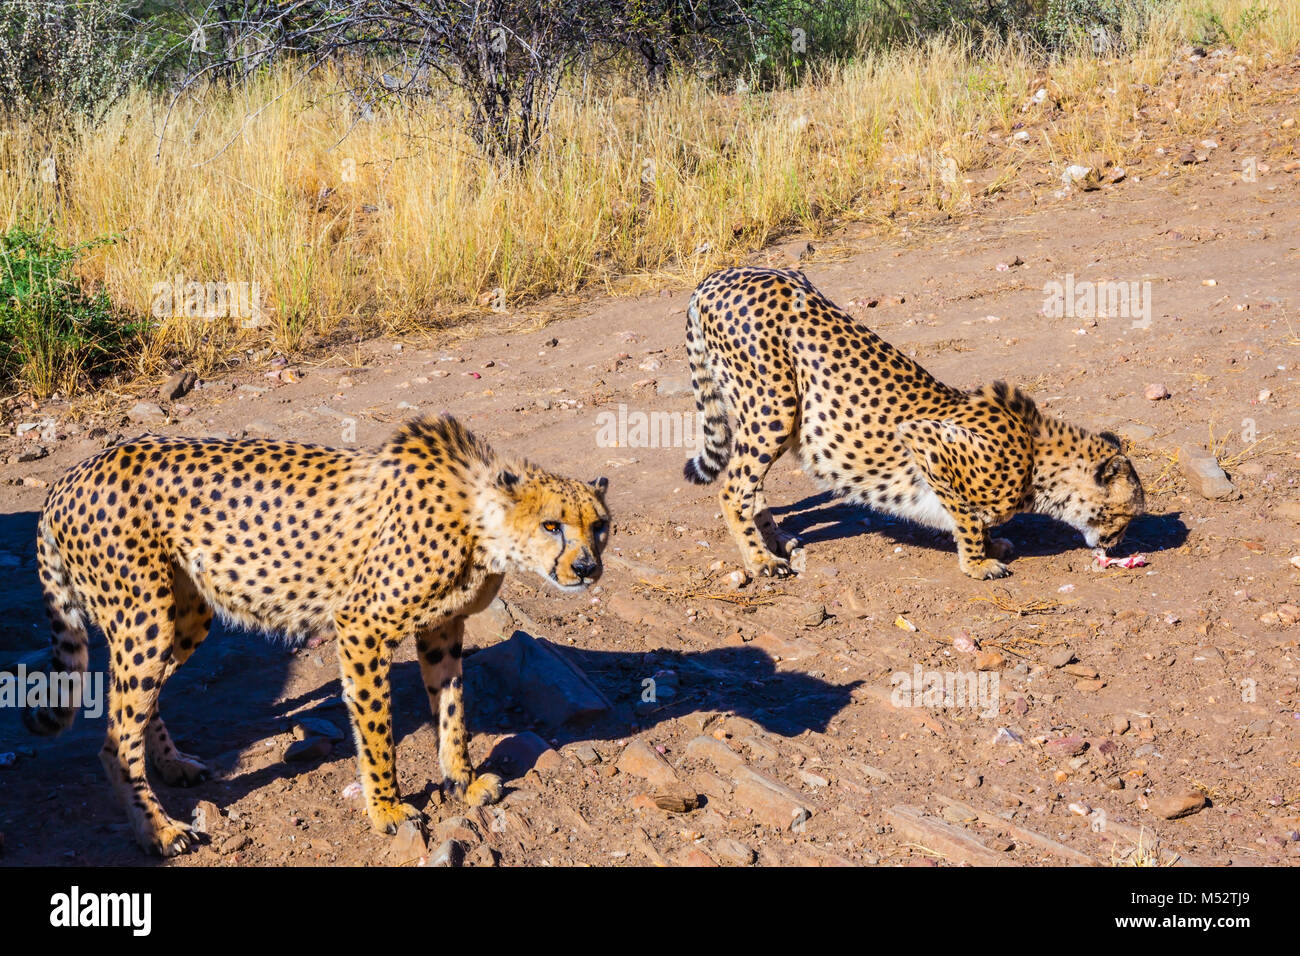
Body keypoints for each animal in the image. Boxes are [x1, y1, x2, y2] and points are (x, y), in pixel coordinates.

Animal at [25, 416, 611, 858]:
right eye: (552, 525)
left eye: (600, 526)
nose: (586, 568)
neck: (482, 522)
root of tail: (73, 474)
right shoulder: (361, 626)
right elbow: (376, 729)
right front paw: (387, 808)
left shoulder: (441, 628)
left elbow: (453, 712)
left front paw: (463, 782)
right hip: (144, 617)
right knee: (112, 740)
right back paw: (160, 830)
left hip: (183, 616)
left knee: (137, 706)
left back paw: (172, 765)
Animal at [686, 269, 1144, 582]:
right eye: (1127, 514)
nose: (1118, 544)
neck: (1037, 459)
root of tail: (719, 275)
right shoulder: (926, 440)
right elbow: (968, 518)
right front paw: (978, 562)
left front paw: (992, 545)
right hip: (774, 406)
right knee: (733, 488)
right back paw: (761, 560)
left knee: (751, 484)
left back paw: (776, 539)